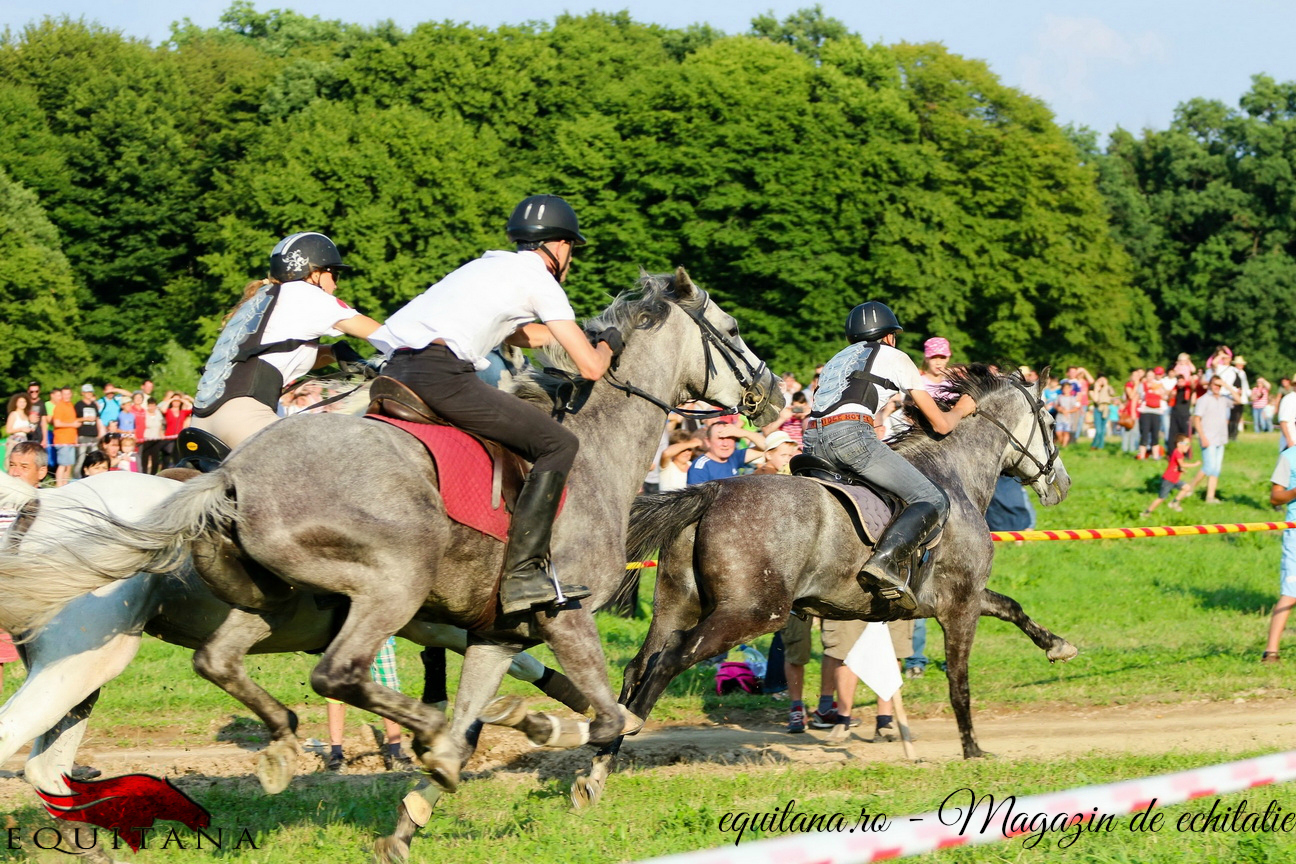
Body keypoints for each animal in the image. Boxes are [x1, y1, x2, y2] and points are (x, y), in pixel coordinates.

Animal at [570, 365, 1073, 813]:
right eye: (1050, 423)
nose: (1063, 485)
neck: (954, 474)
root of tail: (710, 492)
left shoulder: (958, 599)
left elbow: (1011, 606)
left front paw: (1058, 645)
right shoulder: (961, 605)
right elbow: (960, 684)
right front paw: (973, 751)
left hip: (677, 605)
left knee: (640, 664)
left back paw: (599, 767)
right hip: (752, 612)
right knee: (671, 657)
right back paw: (625, 731)